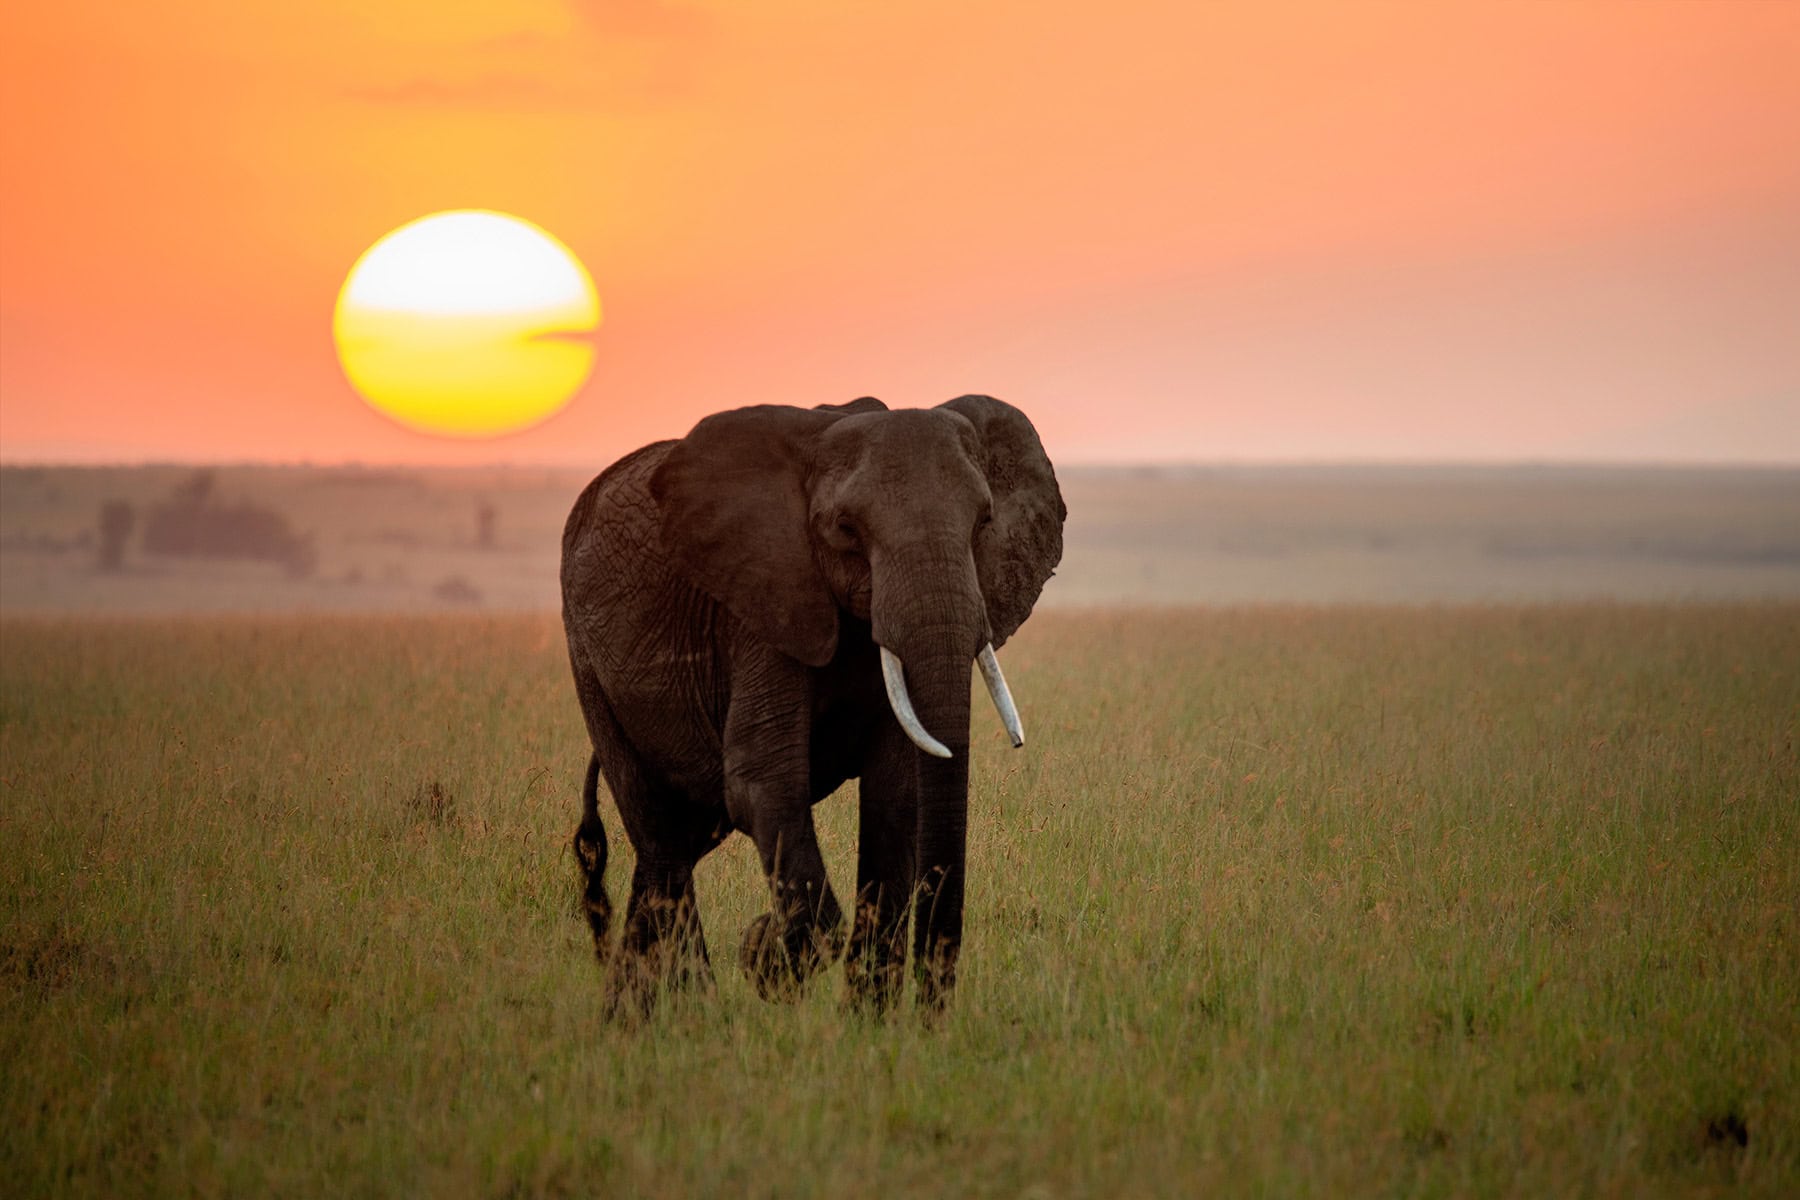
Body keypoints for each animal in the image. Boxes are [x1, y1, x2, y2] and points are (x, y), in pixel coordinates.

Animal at [561, 394, 1065, 1016]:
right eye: (846, 529)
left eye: (985, 523)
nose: (931, 1016)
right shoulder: (761, 601)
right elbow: (763, 782)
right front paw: (764, 952)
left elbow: (896, 794)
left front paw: (868, 1025)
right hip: (588, 663)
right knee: (661, 841)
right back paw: (694, 1015)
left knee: (677, 844)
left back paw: (631, 1021)